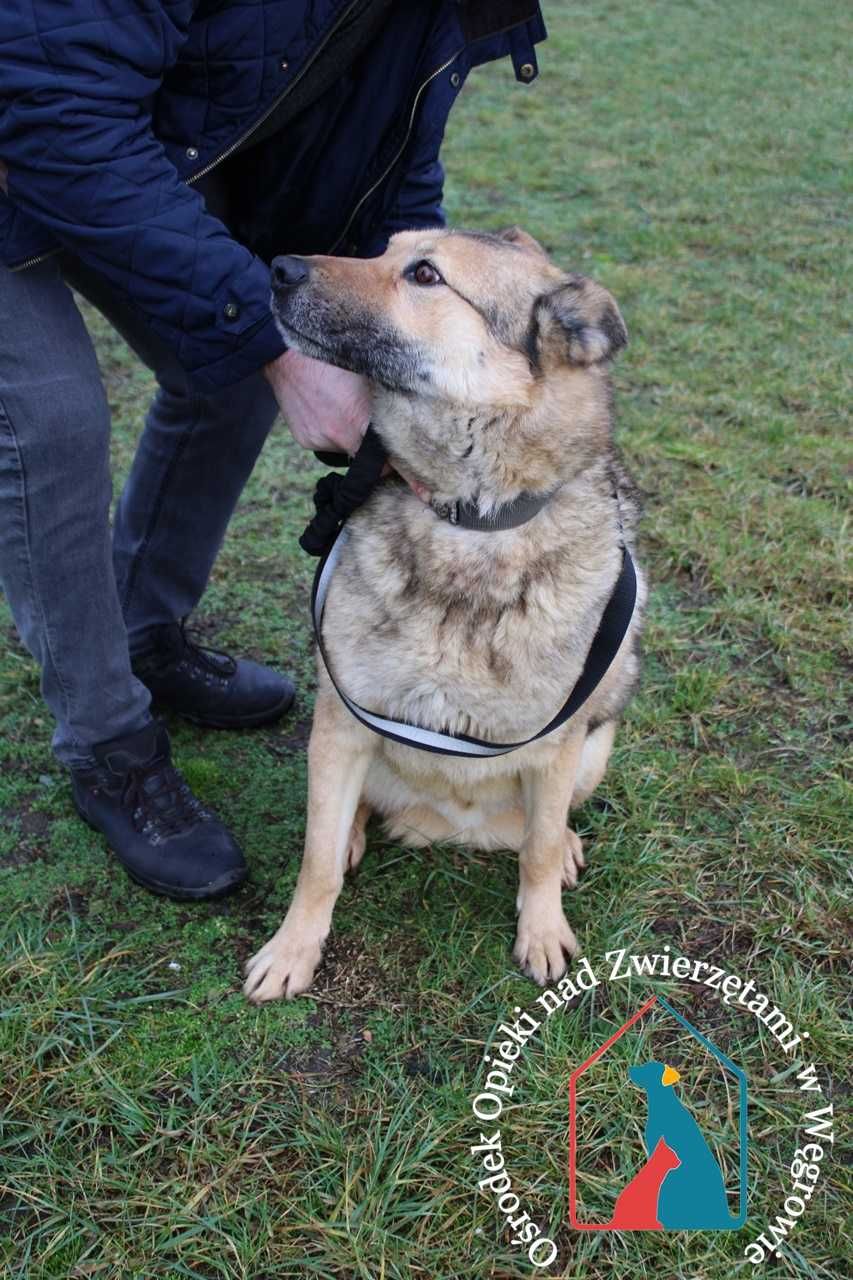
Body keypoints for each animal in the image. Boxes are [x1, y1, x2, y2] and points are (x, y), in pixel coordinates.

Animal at [240, 232, 645, 1008]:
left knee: (541, 830)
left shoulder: (558, 747)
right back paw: (357, 833)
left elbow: (537, 852)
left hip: (598, 744)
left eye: (425, 275)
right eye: (385, 249)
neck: (470, 519)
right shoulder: (340, 724)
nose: (278, 268)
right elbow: (316, 861)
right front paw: (293, 949)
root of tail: (450, 826)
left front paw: (542, 928)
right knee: (352, 816)